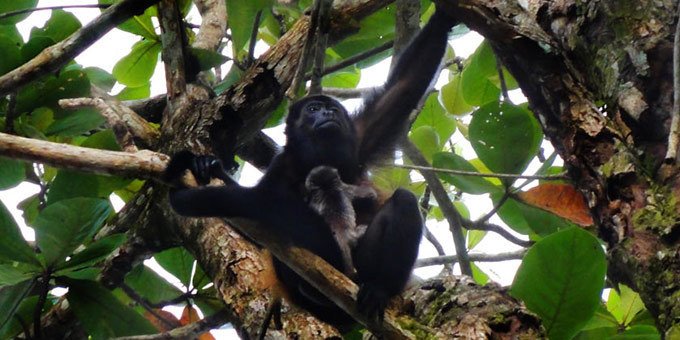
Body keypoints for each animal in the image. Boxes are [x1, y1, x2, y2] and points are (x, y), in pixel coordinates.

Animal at [162, 6, 454, 330]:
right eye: (313, 109)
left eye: (332, 109)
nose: (327, 113)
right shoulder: (280, 170)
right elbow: (252, 225)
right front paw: (203, 165)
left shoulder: (360, 138)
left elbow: (404, 87)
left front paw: (445, 17)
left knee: (403, 201)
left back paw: (378, 289)